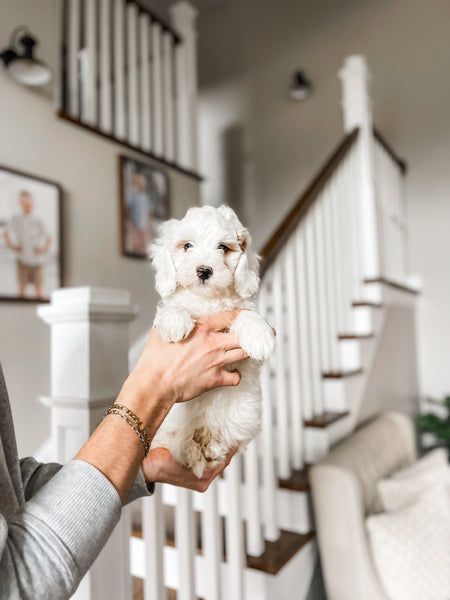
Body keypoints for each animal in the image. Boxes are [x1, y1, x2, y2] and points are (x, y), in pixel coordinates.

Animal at [149, 204, 274, 476]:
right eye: (187, 246)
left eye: (223, 248)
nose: (204, 271)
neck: (207, 300)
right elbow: (173, 307)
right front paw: (175, 319)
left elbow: (245, 313)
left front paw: (259, 334)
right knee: (173, 441)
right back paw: (190, 450)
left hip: (242, 416)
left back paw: (210, 448)